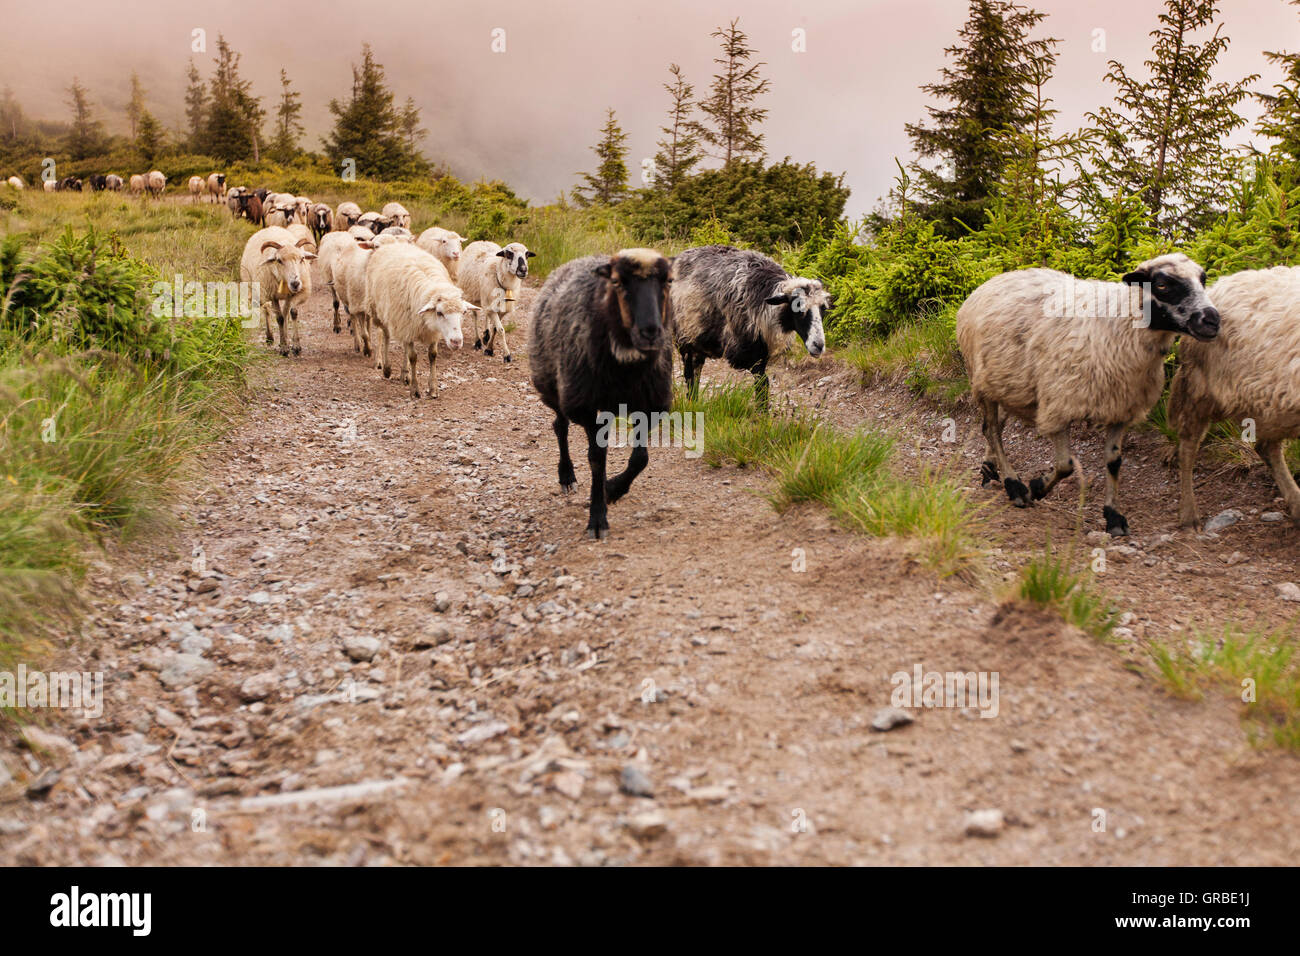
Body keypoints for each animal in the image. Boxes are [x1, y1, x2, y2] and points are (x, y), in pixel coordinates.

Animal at [236, 227, 314, 358]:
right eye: (279, 260)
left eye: (302, 258)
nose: (295, 283)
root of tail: (270, 227)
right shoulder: (273, 296)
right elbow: (279, 318)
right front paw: (284, 348)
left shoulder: (298, 293)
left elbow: (293, 312)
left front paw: (296, 346)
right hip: (258, 288)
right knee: (267, 309)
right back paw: (270, 337)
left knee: (286, 312)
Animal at [527, 248, 676, 538]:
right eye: (617, 282)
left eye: (668, 281)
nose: (651, 332)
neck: (627, 370)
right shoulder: (584, 406)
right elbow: (596, 458)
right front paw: (597, 516)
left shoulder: (651, 404)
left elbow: (640, 459)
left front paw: (613, 489)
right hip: (557, 386)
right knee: (559, 425)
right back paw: (566, 476)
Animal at [676, 243, 826, 408]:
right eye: (798, 308)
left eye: (823, 309)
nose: (819, 345)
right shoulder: (747, 352)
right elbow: (763, 382)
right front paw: (762, 412)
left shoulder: (762, 351)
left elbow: (762, 383)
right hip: (685, 338)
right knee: (690, 374)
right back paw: (691, 402)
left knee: (696, 370)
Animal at [956, 252, 1216, 538]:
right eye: (1162, 284)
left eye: (1203, 279)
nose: (1212, 320)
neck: (1124, 326)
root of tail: (991, 282)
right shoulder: (1059, 403)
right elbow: (1065, 465)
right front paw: (1036, 487)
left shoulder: (1122, 406)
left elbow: (1114, 462)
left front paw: (1114, 516)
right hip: (981, 379)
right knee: (991, 429)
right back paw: (1014, 485)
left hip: (1008, 384)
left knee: (996, 427)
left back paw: (989, 470)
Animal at [1170, 265, 1300, 528]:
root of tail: (1218, 283)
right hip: (1200, 387)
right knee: (1187, 446)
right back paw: (1189, 515)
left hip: (1271, 404)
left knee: (1266, 447)